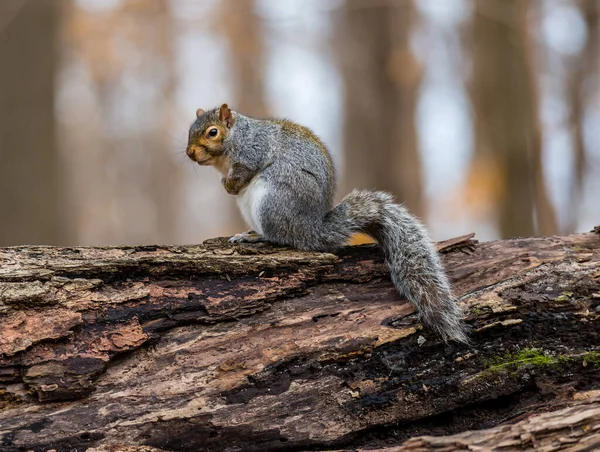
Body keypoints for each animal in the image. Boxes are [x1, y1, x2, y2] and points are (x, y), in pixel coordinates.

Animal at [188, 103, 468, 342]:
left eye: (213, 132)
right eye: (190, 130)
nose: (190, 154)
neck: (234, 140)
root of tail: (311, 229)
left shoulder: (252, 152)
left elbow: (243, 171)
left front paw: (230, 185)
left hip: (271, 200)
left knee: (281, 237)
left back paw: (256, 237)